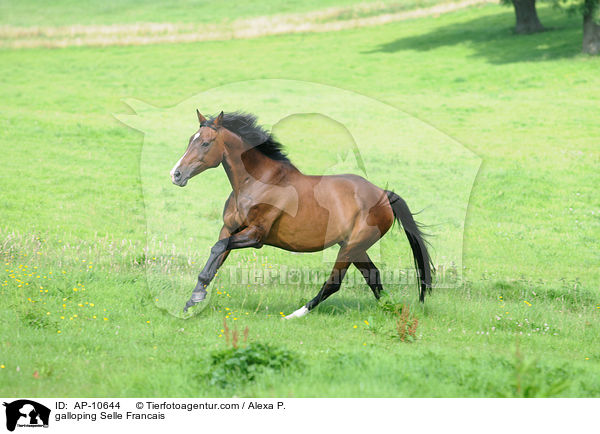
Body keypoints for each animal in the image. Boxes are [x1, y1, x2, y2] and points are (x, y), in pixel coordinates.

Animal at [169, 110, 432, 318]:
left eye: (205, 143)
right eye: (191, 140)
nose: (176, 174)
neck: (257, 182)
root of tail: (383, 195)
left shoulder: (256, 235)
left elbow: (218, 248)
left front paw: (196, 297)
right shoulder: (229, 229)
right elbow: (217, 254)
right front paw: (193, 299)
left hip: (351, 247)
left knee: (334, 283)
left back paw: (295, 314)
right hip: (353, 246)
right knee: (373, 276)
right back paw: (392, 309)